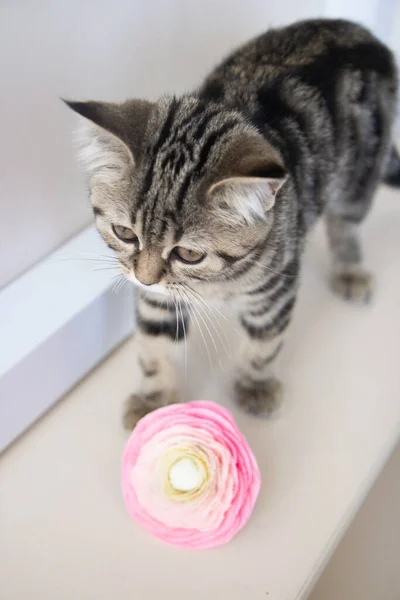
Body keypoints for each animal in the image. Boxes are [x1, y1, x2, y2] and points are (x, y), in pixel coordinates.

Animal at [65, 18, 400, 428]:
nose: (144, 278)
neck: (216, 282)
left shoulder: (276, 286)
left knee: (346, 222)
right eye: (125, 233)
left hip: (359, 175)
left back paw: (349, 269)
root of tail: (356, 28)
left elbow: (265, 341)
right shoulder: (157, 296)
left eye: (189, 254)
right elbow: (155, 340)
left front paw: (255, 384)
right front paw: (153, 398)